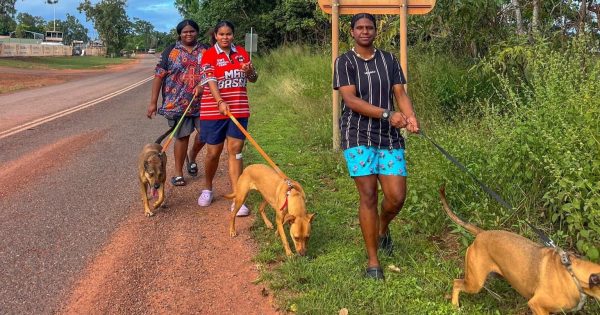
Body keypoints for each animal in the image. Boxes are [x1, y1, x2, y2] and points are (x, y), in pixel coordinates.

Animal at [438, 186, 600, 314]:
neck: (573, 273)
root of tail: (481, 233)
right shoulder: (536, 305)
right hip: (474, 283)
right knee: (456, 283)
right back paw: (454, 306)